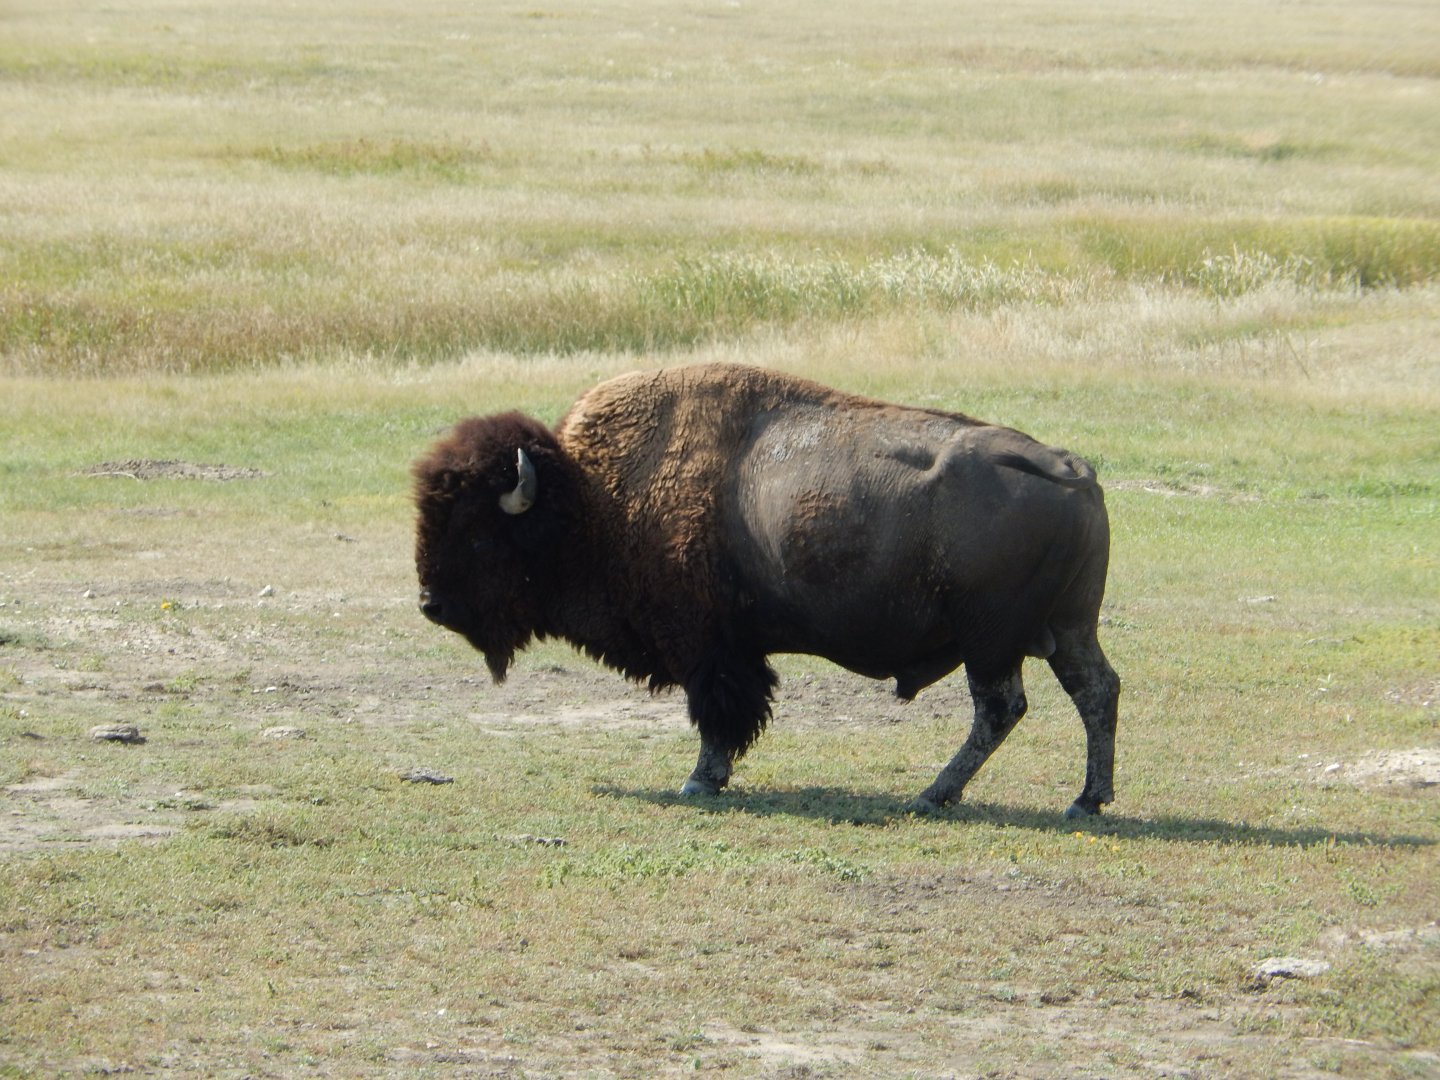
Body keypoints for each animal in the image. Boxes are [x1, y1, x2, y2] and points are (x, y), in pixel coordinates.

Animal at [413, 363, 1120, 817]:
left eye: (477, 534)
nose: (431, 604)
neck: (589, 499)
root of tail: (1072, 469)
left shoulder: (707, 648)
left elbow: (716, 714)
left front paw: (700, 782)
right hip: (1067, 628)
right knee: (1095, 690)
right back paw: (1085, 801)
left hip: (990, 641)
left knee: (1000, 707)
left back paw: (933, 796)